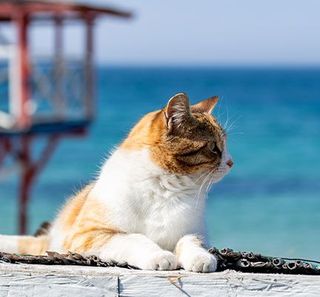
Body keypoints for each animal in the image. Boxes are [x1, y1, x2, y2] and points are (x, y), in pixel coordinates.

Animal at [0, 92, 232, 270]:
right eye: (214, 148)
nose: (231, 162)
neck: (165, 187)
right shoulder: (90, 234)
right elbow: (134, 238)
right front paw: (159, 256)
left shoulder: (194, 231)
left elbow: (190, 240)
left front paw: (200, 257)